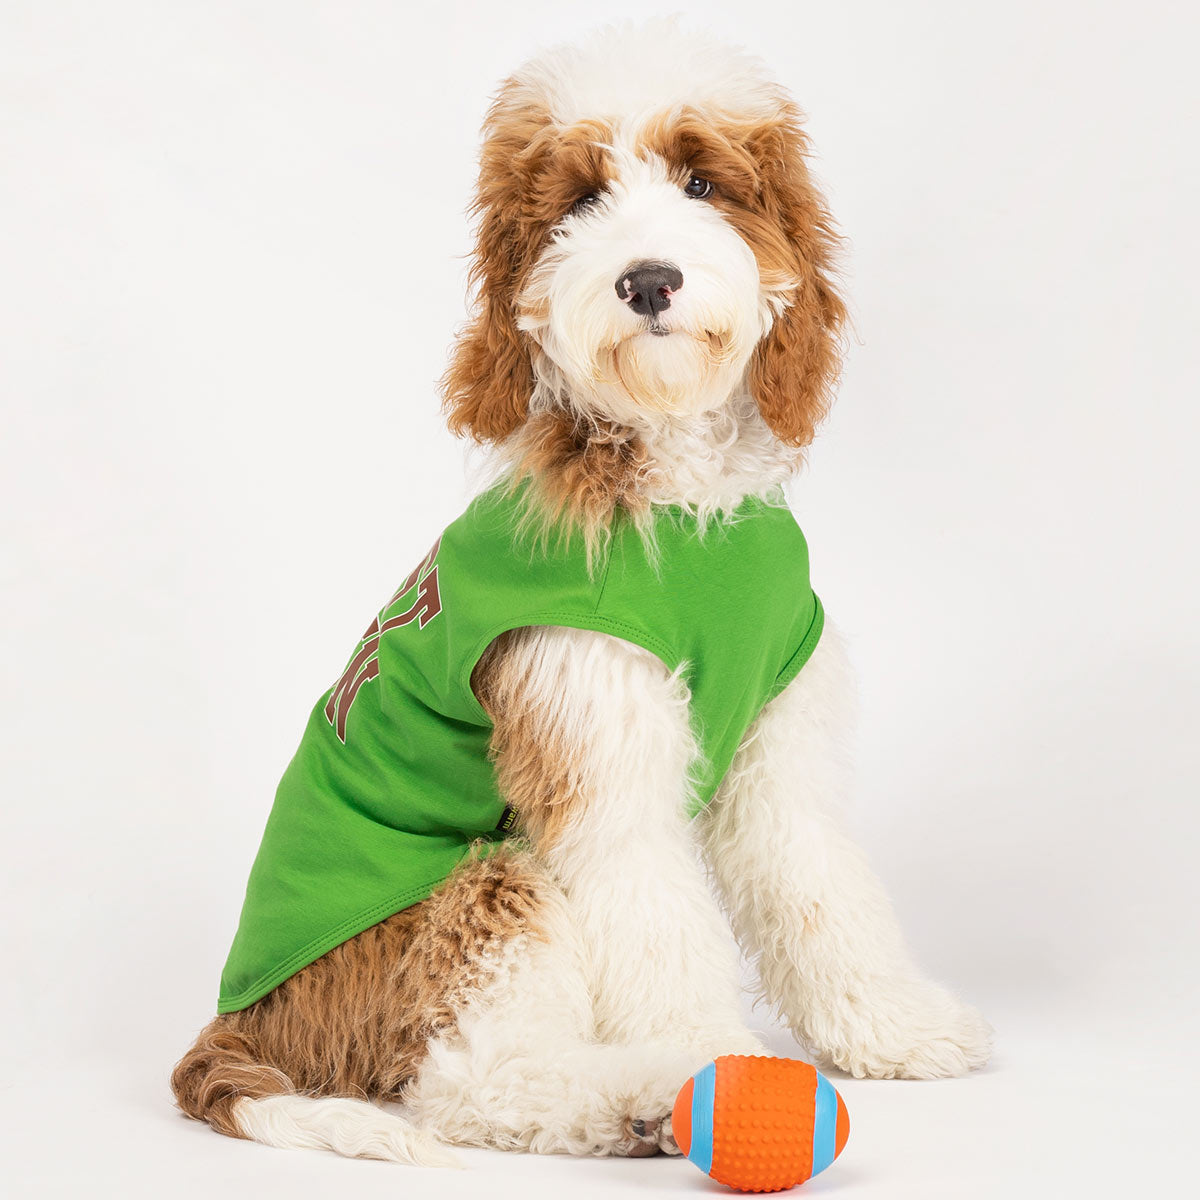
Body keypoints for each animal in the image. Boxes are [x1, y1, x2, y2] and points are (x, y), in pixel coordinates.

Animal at [171, 22, 992, 1166]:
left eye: (702, 181)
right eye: (582, 201)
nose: (647, 280)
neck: (679, 492)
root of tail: (245, 1015)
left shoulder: (778, 742)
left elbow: (818, 885)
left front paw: (894, 1027)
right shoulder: (595, 748)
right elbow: (657, 923)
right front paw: (716, 1063)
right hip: (474, 888)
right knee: (475, 1084)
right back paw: (647, 1093)